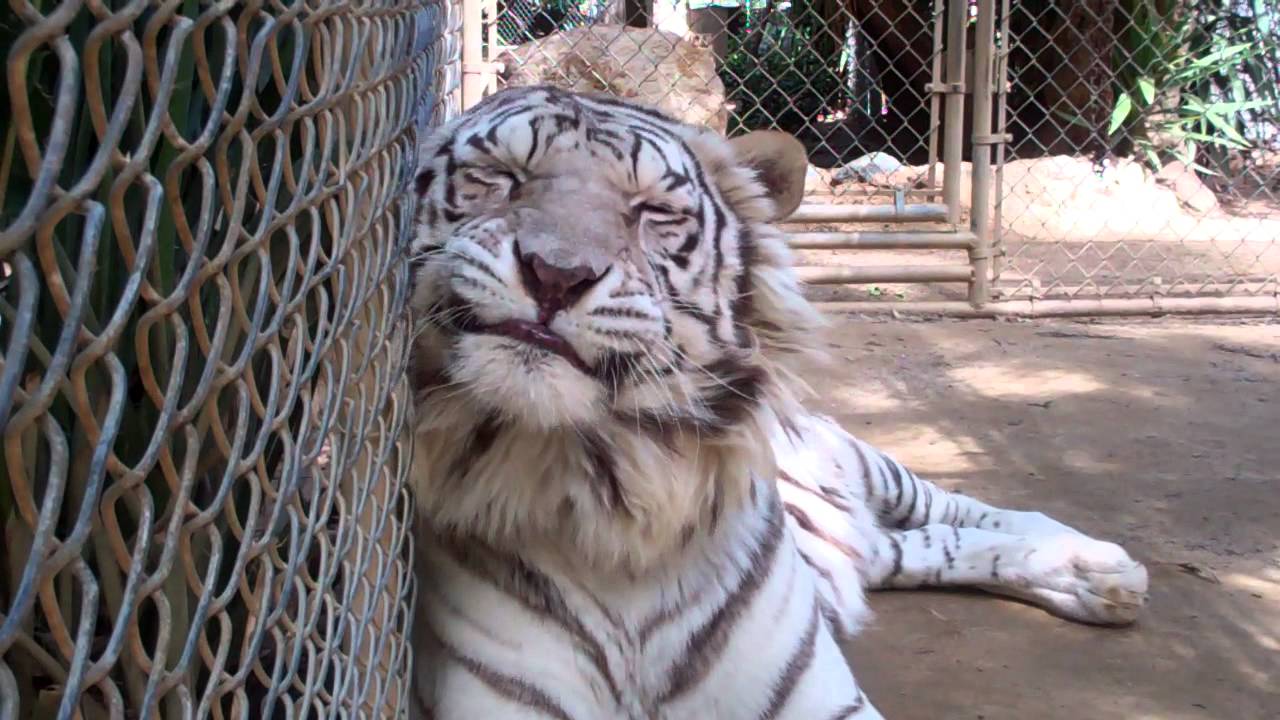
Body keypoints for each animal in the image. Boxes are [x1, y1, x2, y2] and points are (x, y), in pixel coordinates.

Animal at [406, 85, 1149, 719]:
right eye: (501, 175)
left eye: (654, 213)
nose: (557, 274)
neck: (610, 491)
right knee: (921, 546)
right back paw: (1092, 583)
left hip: (861, 460)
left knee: (964, 509)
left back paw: (1097, 563)